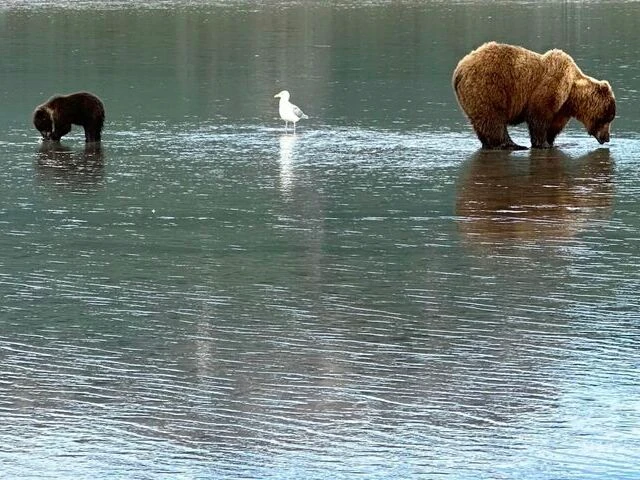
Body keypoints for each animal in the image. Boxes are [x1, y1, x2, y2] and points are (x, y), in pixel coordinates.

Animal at [452, 42, 616, 149]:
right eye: (607, 118)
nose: (607, 138)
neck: (571, 94)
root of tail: (459, 69)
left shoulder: (562, 108)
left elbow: (553, 126)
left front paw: (552, 142)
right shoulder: (550, 87)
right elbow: (538, 117)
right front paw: (543, 144)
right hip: (488, 85)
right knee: (493, 118)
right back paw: (512, 144)